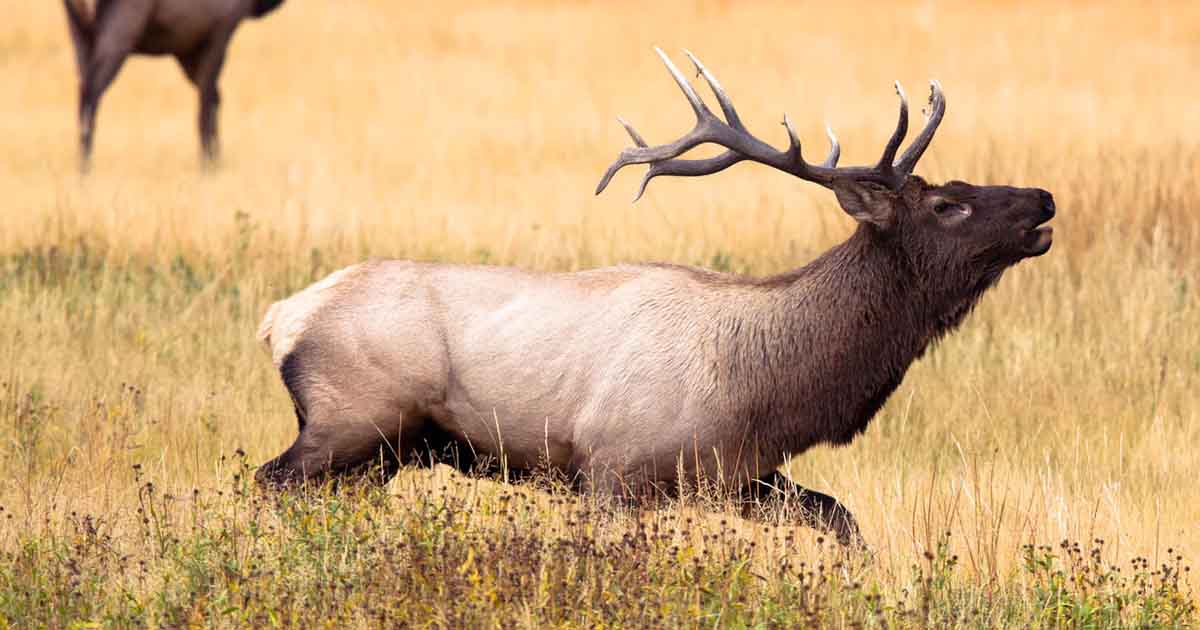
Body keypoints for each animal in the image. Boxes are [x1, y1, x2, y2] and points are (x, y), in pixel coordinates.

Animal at [62, 0, 286, 172]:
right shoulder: (221, 30)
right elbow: (206, 104)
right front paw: (209, 165)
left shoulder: (186, 48)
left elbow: (214, 97)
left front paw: (214, 158)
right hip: (121, 27)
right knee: (92, 91)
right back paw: (86, 165)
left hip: (79, 30)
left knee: (83, 88)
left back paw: (82, 165)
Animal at [253, 48, 1055, 546]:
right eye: (948, 204)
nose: (1043, 198)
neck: (766, 386)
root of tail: (280, 319)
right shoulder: (613, 467)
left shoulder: (739, 476)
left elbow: (843, 521)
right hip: (353, 418)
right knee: (267, 481)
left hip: (384, 452)